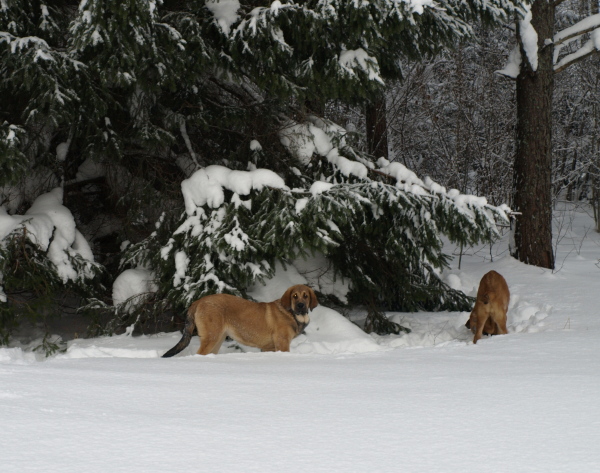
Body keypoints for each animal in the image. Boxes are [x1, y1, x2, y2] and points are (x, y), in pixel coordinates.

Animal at [159, 284, 318, 354]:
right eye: (295, 296)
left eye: (306, 296)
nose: (301, 306)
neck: (291, 313)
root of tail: (198, 301)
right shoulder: (282, 344)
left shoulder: (269, 348)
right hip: (211, 337)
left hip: (217, 340)